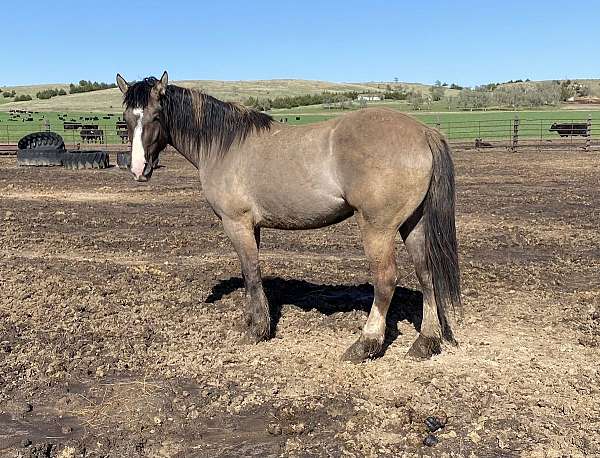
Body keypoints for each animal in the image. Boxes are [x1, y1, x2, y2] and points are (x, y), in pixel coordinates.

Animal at [117, 71, 462, 364]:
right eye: (127, 119)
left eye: (156, 116)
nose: (138, 169)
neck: (224, 145)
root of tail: (423, 131)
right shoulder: (252, 227)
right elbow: (248, 274)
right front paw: (252, 320)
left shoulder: (236, 223)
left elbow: (252, 272)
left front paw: (258, 330)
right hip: (414, 224)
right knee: (426, 274)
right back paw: (426, 342)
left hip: (378, 228)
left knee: (386, 280)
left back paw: (365, 344)